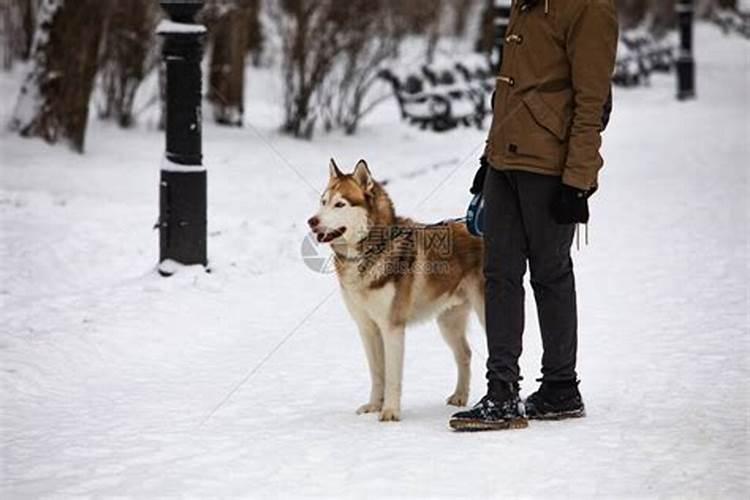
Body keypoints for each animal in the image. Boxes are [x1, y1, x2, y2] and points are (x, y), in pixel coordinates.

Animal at [306, 160, 488, 422]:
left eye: (340, 204)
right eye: (323, 201)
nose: (311, 221)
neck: (372, 249)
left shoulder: (392, 328)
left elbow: (392, 376)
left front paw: (390, 412)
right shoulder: (367, 329)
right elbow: (377, 373)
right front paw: (374, 405)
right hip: (448, 322)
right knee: (465, 353)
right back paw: (460, 396)